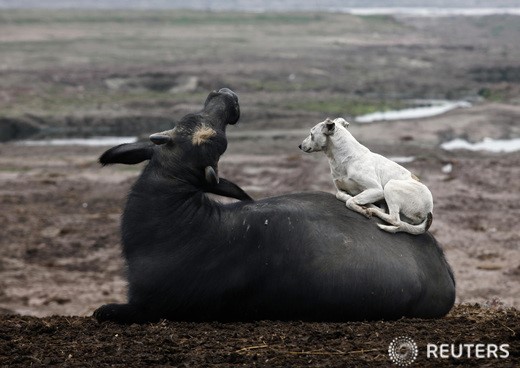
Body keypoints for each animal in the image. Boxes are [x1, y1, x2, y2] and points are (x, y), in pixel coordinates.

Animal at [298, 116, 432, 234]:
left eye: (311, 134)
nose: (299, 146)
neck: (345, 158)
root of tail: (429, 209)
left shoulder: (377, 190)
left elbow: (350, 202)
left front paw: (362, 209)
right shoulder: (340, 188)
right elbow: (341, 195)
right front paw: (353, 200)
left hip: (390, 186)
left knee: (394, 219)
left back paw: (372, 209)